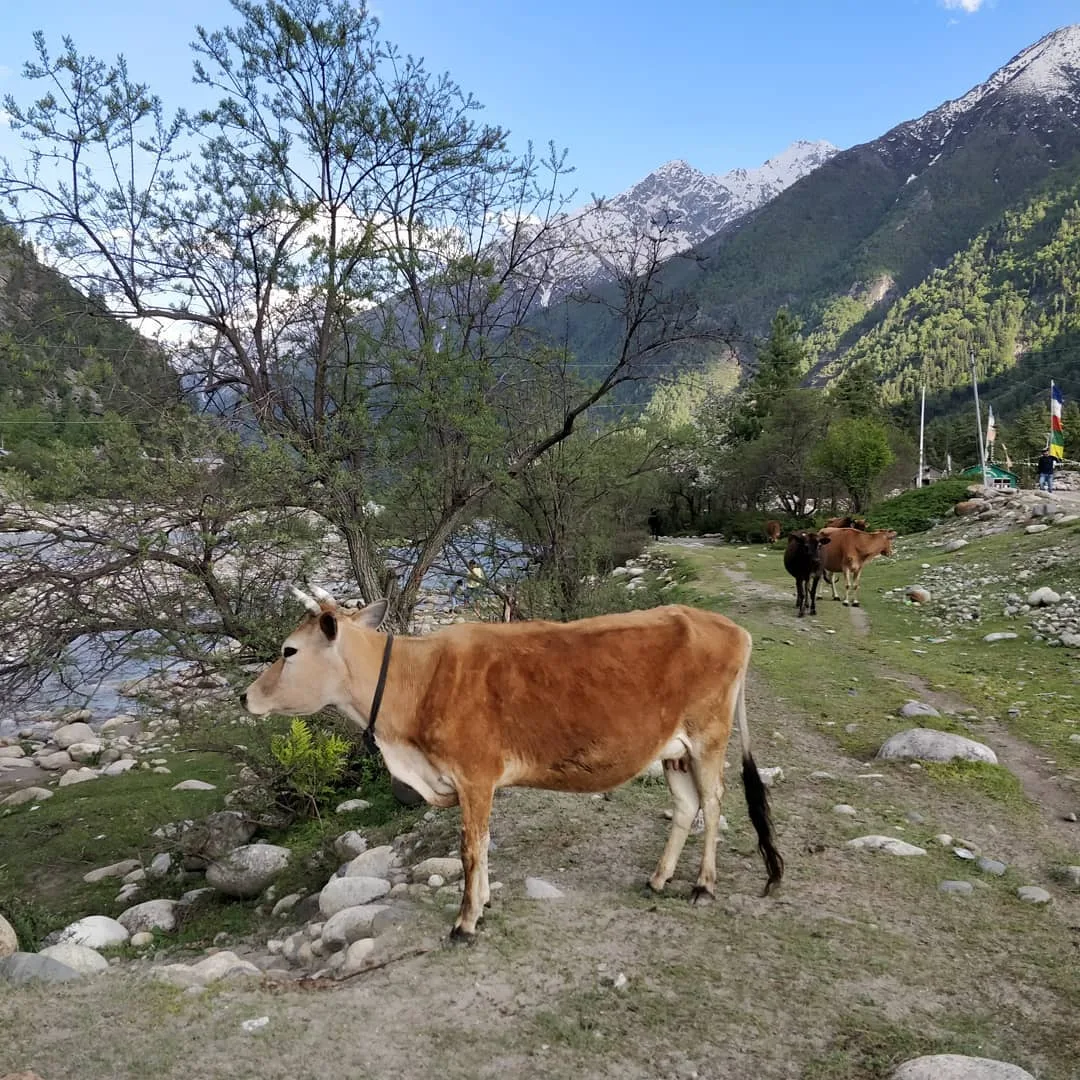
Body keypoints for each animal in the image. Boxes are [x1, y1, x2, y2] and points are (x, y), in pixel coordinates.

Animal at [242, 586, 783, 942]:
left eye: (289, 650)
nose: (246, 696)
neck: (415, 685)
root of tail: (728, 626)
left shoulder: (474, 775)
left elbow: (470, 849)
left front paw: (464, 922)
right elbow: (482, 847)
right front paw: (480, 906)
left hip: (709, 736)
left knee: (713, 803)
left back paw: (703, 886)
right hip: (674, 749)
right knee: (687, 805)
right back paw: (659, 878)